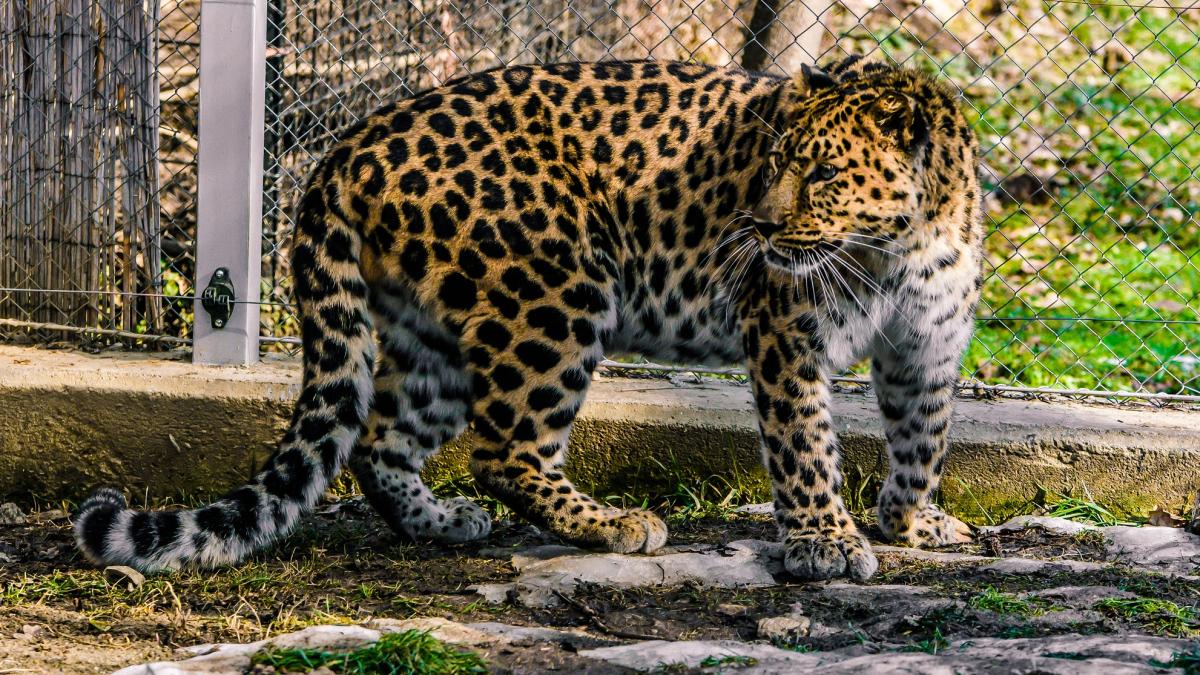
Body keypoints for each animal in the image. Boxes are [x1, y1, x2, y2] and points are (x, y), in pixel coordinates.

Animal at [75, 55, 983, 582]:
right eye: (771, 164)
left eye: (822, 174)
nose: (755, 228)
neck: (902, 241)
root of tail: (350, 142)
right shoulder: (787, 333)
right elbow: (806, 445)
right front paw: (825, 539)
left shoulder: (928, 347)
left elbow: (924, 436)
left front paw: (913, 519)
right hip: (557, 291)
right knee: (503, 448)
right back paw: (614, 524)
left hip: (433, 329)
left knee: (380, 438)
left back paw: (441, 523)